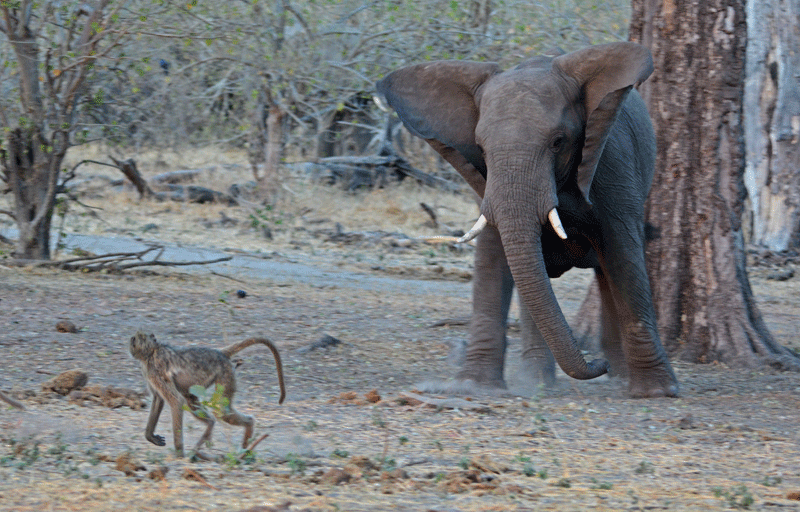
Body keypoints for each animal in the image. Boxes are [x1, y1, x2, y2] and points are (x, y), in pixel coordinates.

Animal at [376, 42, 679, 398]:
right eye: (480, 148)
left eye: (558, 141)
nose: (597, 365)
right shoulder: (486, 182)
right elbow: (492, 255)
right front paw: (473, 386)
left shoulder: (612, 162)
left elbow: (624, 255)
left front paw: (658, 392)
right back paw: (539, 380)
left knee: (605, 273)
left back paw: (616, 375)